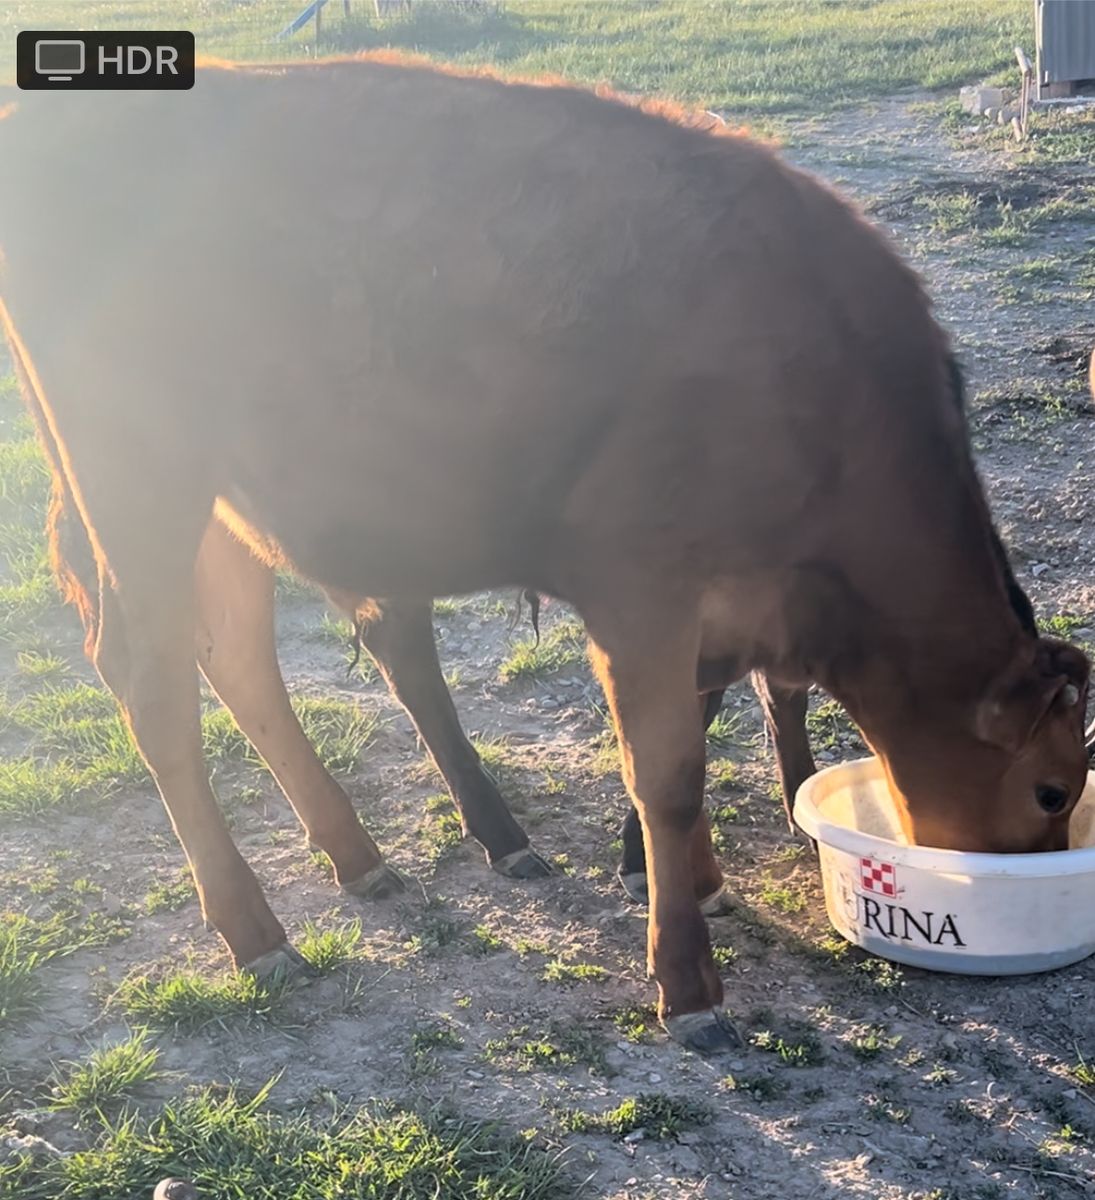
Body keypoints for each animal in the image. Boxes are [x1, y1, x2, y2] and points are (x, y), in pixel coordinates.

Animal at [0, 55, 1089, 1055]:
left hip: (227, 507)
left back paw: (362, 856)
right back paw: (257, 932)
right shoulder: (641, 591)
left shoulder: (714, 609)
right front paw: (687, 982)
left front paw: (691, 882)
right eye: (1049, 787)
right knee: (151, 681)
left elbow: (698, 728)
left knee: (236, 656)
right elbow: (667, 772)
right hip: (140, 481)